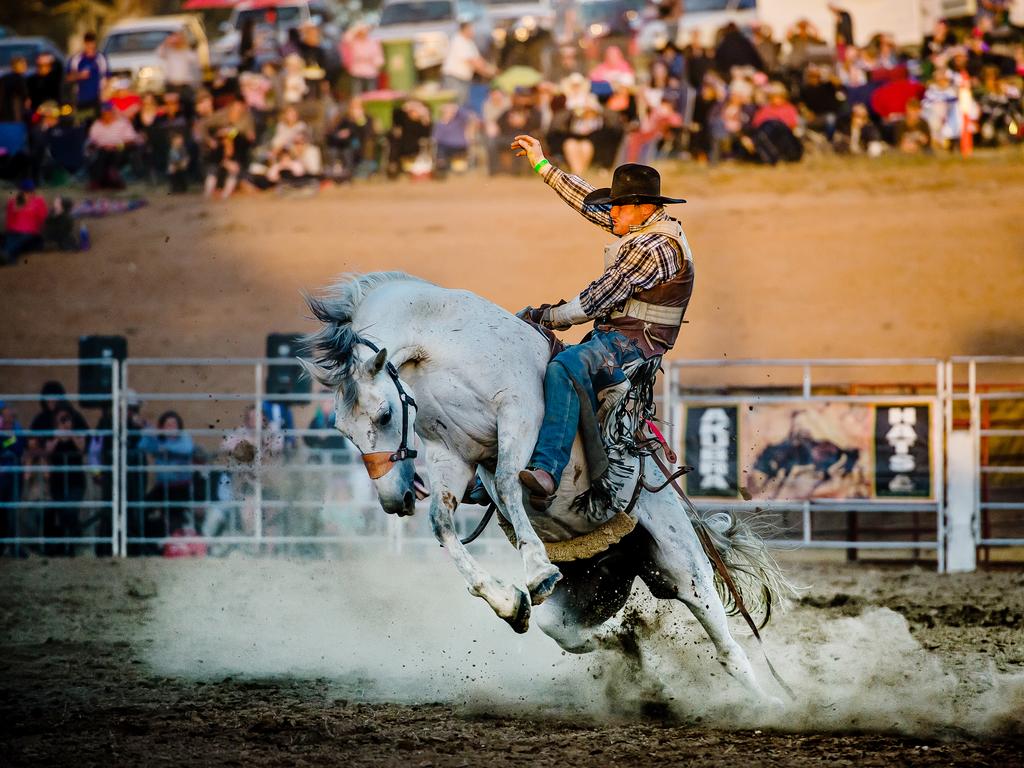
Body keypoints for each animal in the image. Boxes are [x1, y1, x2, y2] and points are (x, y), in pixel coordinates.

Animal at [299, 274, 794, 708]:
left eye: (384, 415)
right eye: (342, 430)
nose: (392, 499)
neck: (442, 342)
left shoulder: (520, 415)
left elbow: (508, 483)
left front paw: (536, 572)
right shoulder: (449, 452)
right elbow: (442, 523)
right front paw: (508, 602)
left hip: (682, 565)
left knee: (728, 646)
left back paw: (770, 704)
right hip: (592, 591)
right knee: (576, 635)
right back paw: (629, 654)